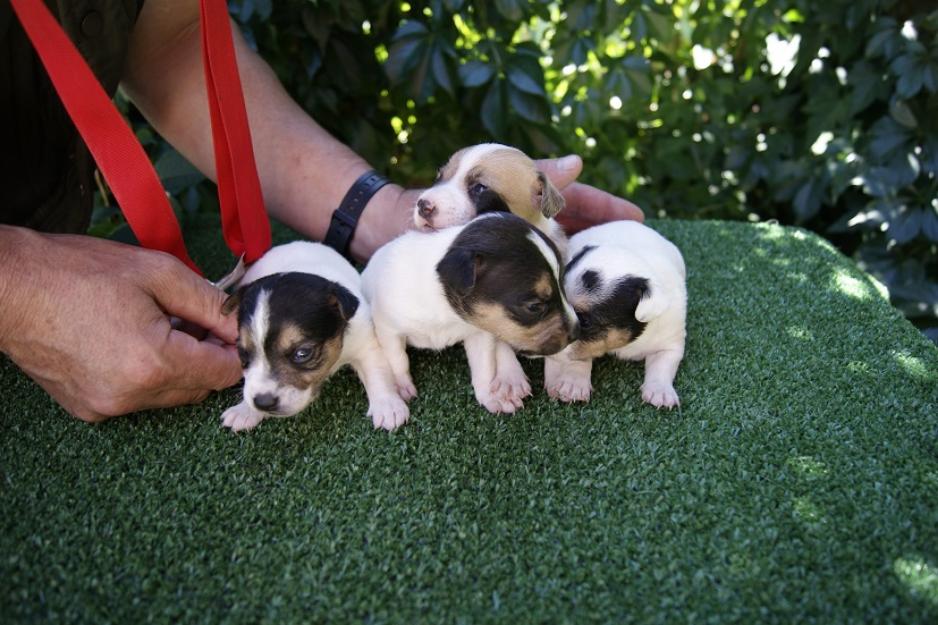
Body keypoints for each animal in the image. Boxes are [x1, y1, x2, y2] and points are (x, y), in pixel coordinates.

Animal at [221, 241, 412, 432]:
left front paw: (387, 405)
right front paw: (245, 410)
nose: (263, 402)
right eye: (243, 353)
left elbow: (378, 373)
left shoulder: (366, 343)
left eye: (302, 353)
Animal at [360, 212, 576, 412]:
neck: (446, 308)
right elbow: (398, 360)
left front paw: (490, 396)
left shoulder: (480, 334)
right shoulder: (387, 328)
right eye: (534, 306)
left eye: (563, 287)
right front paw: (401, 387)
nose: (577, 332)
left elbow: (484, 368)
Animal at [540, 221, 688, 410]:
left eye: (584, 321)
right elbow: (579, 358)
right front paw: (574, 383)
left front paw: (660, 391)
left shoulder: (671, 342)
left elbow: (662, 365)